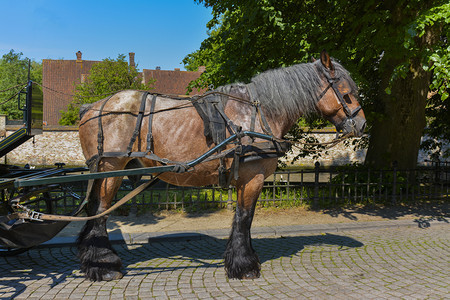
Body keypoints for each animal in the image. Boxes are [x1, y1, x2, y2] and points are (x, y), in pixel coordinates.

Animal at [76, 51, 366, 282]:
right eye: (347, 93)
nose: (362, 125)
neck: (259, 113)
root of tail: (93, 106)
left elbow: (241, 219)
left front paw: (239, 261)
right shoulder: (252, 177)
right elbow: (244, 219)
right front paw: (244, 266)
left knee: (94, 211)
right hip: (112, 170)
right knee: (100, 212)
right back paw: (104, 265)